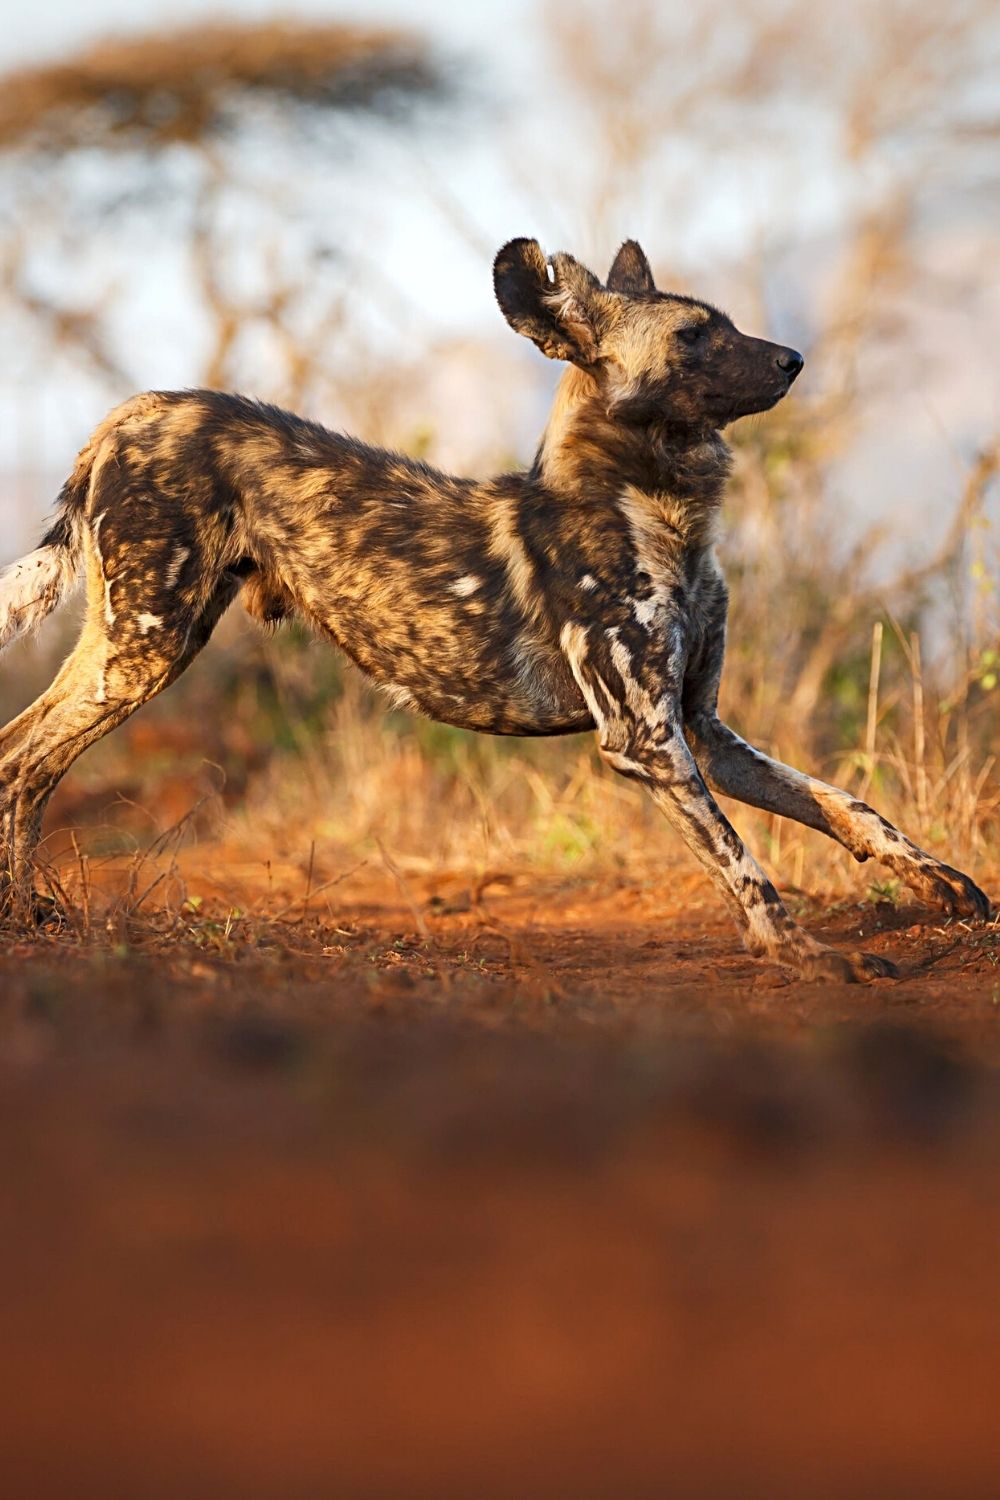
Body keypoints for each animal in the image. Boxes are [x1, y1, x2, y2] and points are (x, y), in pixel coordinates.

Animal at [0, 237, 989, 972]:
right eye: (693, 338)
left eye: (731, 327)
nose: (793, 358)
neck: (658, 509)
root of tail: (130, 411)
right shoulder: (645, 738)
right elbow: (744, 863)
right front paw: (804, 954)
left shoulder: (703, 730)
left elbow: (848, 806)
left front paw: (946, 885)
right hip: (147, 648)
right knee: (27, 761)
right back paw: (23, 918)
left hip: (132, 645)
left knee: (19, 752)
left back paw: (30, 914)